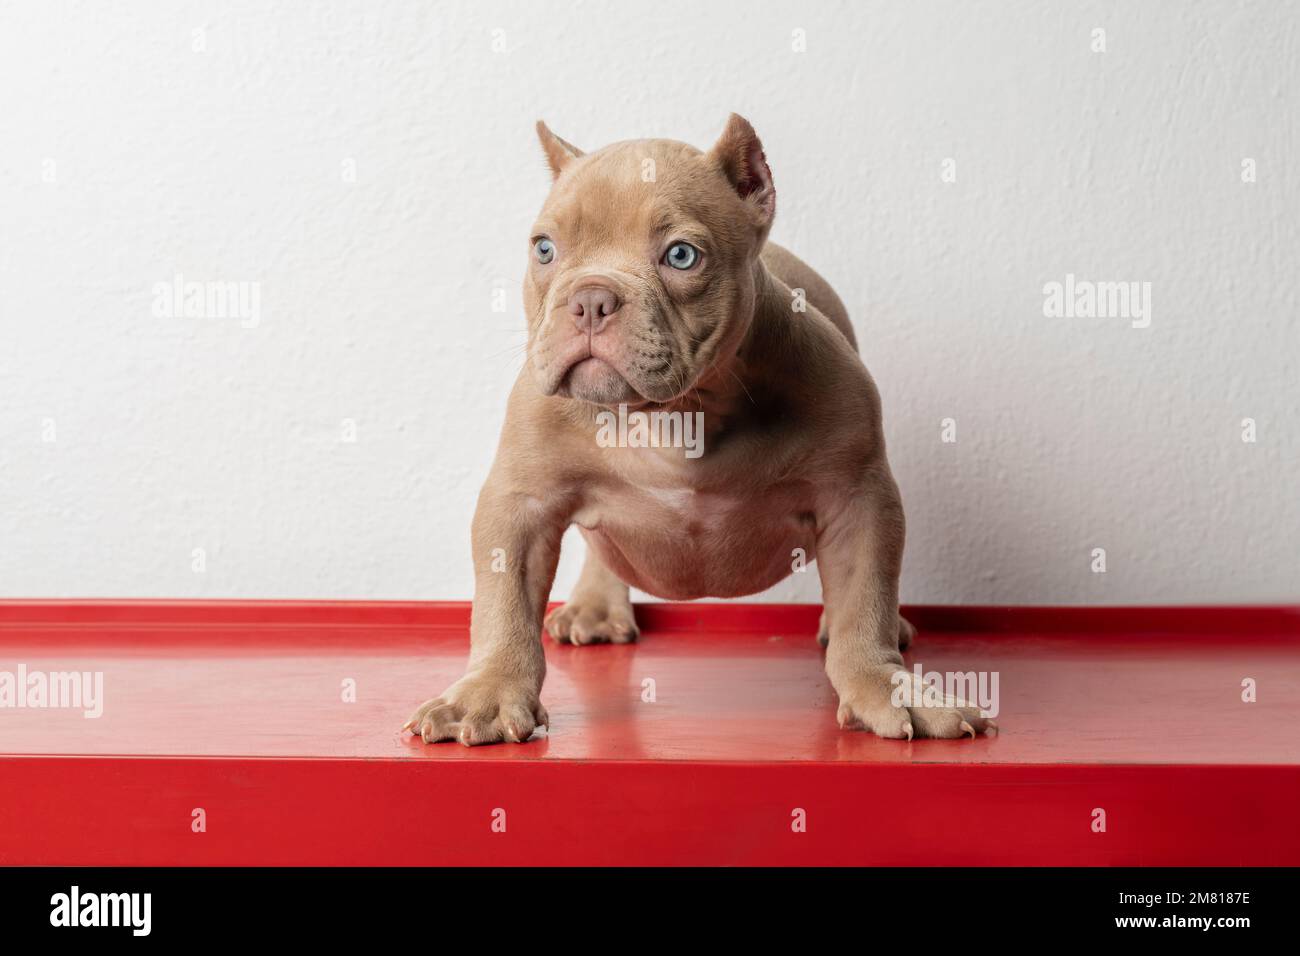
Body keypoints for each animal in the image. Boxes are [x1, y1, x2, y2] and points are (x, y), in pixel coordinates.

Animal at [405, 115, 993, 749]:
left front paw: (886, 686)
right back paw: (595, 606)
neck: (676, 411)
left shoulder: (857, 495)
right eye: (545, 249)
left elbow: (865, 600)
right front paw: (487, 693)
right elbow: (504, 605)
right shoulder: (520, 503)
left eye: (681, 256)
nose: (590, 299)